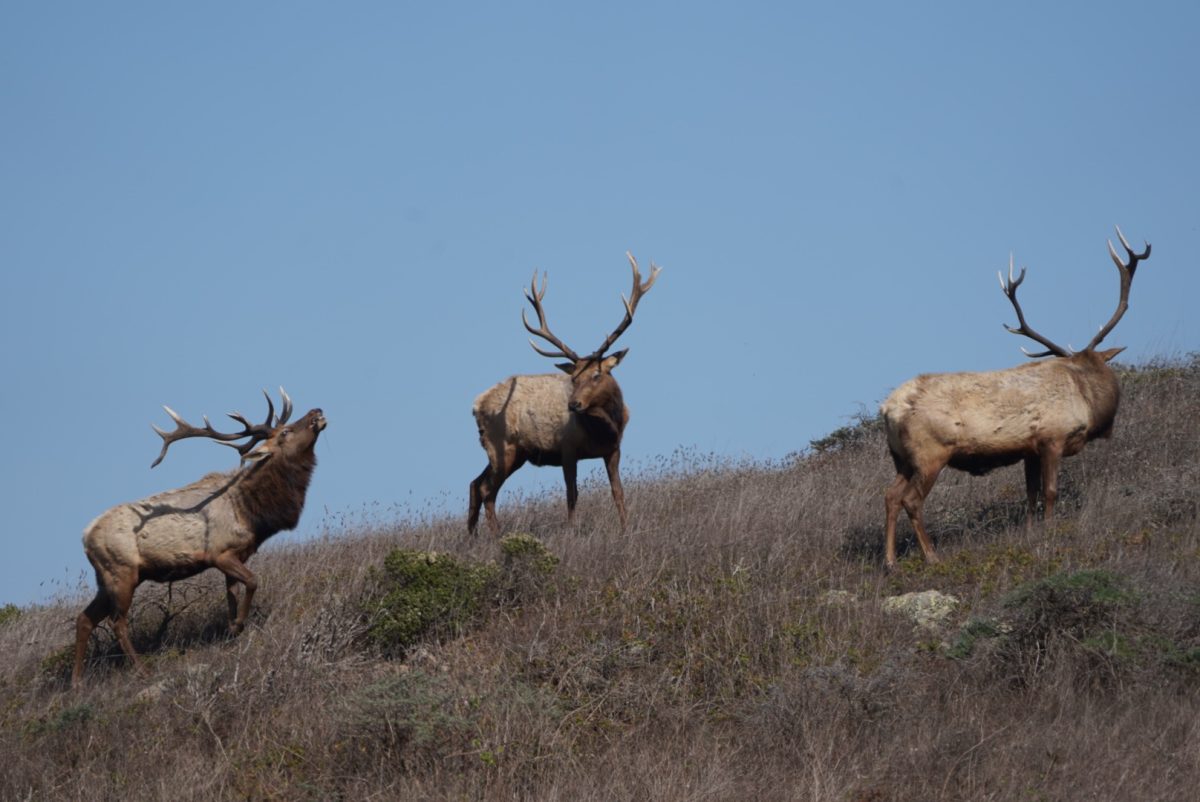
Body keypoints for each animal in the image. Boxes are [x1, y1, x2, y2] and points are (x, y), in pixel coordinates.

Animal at [72, 388, 326, 681]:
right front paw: (238, 624)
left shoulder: (238, 555)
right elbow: (252, 582)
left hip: (105, 579)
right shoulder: (218, 553)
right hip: (121, 571)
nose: (316, 410)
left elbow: (232, 595)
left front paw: (233, 629)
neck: (251, 511)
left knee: (84, 619)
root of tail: (86, 536)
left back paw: (77, 683)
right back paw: (142, 670)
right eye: (285, 432)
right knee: (117, 622)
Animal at [468, 253, 662, 535]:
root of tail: (476, 405)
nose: (573, 404)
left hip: (511, 453)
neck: (605, 427)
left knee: (474, 484)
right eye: (574, 378)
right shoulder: (567, 449)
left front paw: (626, 530)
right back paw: (495, 536)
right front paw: (571, 533)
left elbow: (618, 493)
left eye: (596, 374)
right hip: (502, 446)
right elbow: (572, 496)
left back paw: (471, 537)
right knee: (486, 490)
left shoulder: (613, 449)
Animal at [883, 226, 1152, 569]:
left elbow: (1030, 493)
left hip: (901, 458)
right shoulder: (1052, 438)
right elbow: (1050, 491)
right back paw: (932, 556)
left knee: (890, 496)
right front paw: (1050, 531)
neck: (1088, 401)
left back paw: (889, 561)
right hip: (931, 452)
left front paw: (1029, 532)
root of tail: (888, 409)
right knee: (911, 500)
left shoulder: (1029, 450)